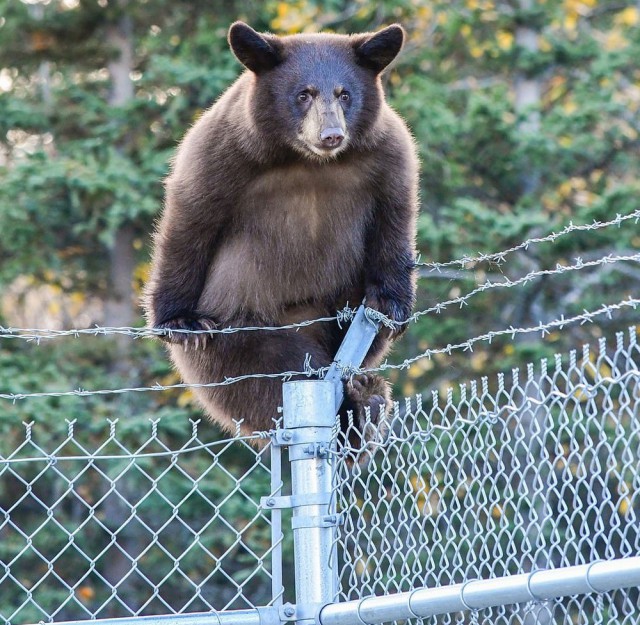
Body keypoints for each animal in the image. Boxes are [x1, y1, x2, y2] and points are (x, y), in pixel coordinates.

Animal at [148, 20, 422, 448]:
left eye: (345, 94)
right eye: (303, 94)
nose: (331, 135)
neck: (306, 161)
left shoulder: (386, 154)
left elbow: (394, 217)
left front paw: (391, 304)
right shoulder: (222, 151)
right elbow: (193, 218)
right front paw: (179, 322)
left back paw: (367, 404)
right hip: (245, 332)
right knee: (276, 377)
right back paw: (357, 412)